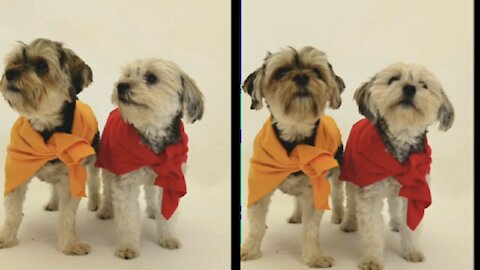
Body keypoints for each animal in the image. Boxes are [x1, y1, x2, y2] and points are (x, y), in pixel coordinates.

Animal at [0, 38, 100, 255]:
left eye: (41, 66)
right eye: (14, 62)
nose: (10, 73)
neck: (47, 134)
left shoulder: (73, 175)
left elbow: (67, 217)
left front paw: (70, 245)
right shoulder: (18, 170)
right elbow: (12, 213)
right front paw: (5, 238)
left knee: (94, 181)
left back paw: (96, 202)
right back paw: (54, 202)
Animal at [95, 58, 204, 260]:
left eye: (152, 77)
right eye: (127, 75)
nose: (121, 86)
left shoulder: (172, 178)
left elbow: (167, 212)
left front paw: (168, 238)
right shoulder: (126, 181)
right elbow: (128, 218)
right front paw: (127, 247)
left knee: (151, 191)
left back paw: (153, 211)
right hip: (107, 166)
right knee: (107, 190)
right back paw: (106, 209)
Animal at [242, 47, 346, 268]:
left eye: (316, 71)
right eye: (281, 72)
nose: (301, 77)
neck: (295, 143)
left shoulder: (316, 188)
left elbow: (311, 230)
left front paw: (314, 257)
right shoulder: (260, 184)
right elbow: (256, 225)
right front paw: (249, 250)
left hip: (337, 169)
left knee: (338, 193)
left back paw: (338, 215)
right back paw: (297, 215)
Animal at [340, 62, 456, 268]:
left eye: (423, 84)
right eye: (393, 78)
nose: (409, 88)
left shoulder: (416, 191)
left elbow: (411, 227)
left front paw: (412, 251)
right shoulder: (369, 194)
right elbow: (372, 232)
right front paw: (372, 259)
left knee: (394, 204)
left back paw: (396, 223)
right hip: (352, 179)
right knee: (351, 202)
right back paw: (350, 223)